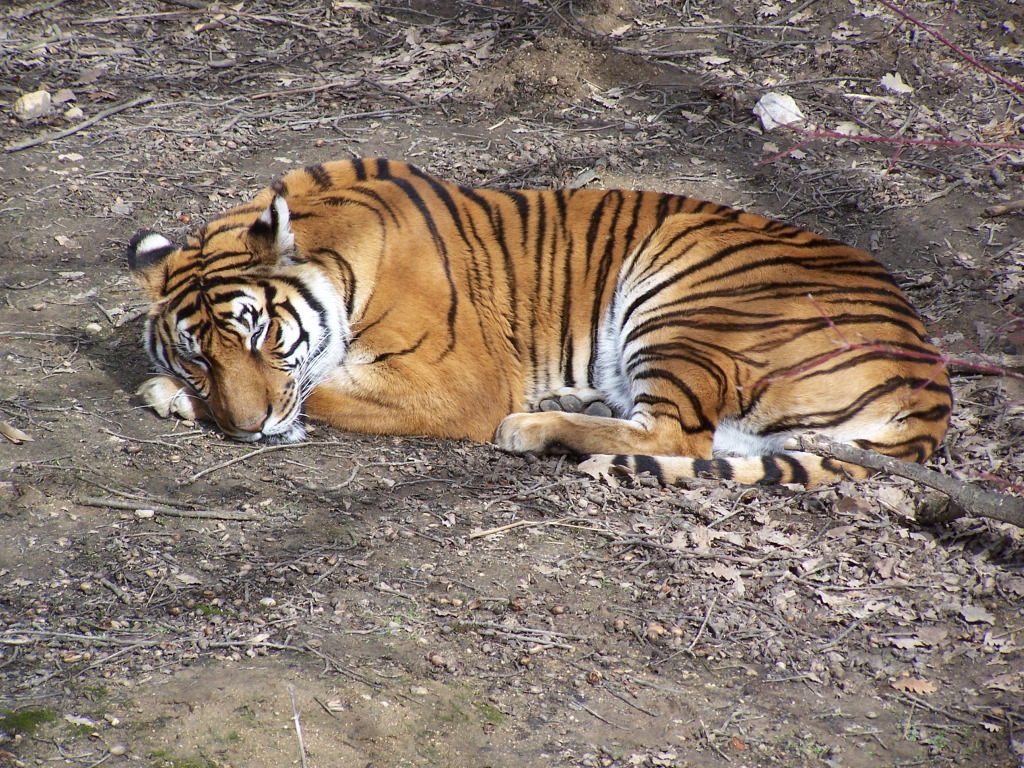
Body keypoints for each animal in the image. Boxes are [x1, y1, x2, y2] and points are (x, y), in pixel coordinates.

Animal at [128, 157, 950, 487]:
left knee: (675, 434)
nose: (246, 429)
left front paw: (171, 398)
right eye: (199, 355)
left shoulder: (455, 383)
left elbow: (321, 388)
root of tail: (932, 374)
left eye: (260, 333)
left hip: (684, 292)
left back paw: (532, 426)